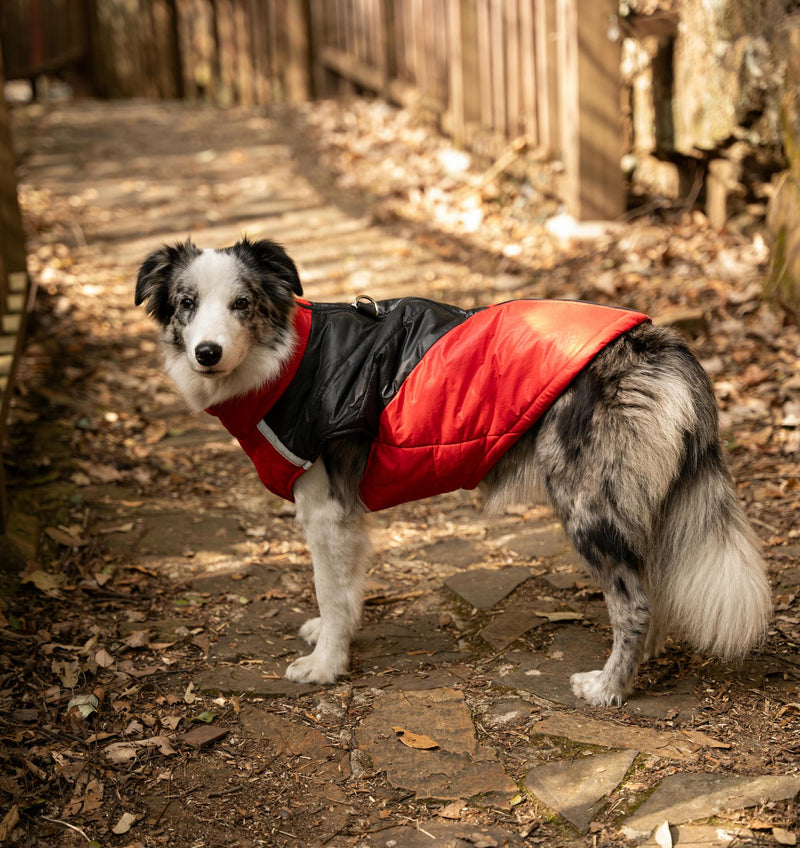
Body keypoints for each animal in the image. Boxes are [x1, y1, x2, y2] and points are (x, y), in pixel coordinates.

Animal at [134, 235, 772, 704]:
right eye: (187, 303)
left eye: (241, 304)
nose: (207, 352)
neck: (290, 360)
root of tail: (659, 344)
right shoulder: (347, 517)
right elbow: (345, 589)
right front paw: (334, 638)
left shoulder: (326, 509)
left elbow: (330, 590)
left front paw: (325, 665)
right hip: (640, 498)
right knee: (651, 580)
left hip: (588, 502)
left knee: (632, 600)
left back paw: (610, 688)